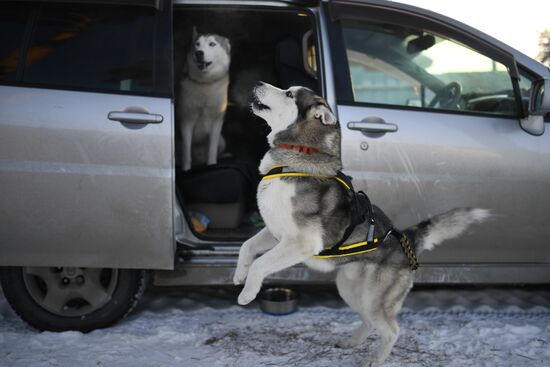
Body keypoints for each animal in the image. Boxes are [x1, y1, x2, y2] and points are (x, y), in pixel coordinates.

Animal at [179, 27, 231, 171]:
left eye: (212, 44)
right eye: (197, 44)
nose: (198, 53)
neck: (205, 83)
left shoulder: (217, 121)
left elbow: (212, 151)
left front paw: (212, 165)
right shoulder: (186, 121)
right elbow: (186, 154)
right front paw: (186, 170)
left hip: (222, 141)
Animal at [235, 82, 490, 367]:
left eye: (289, 94)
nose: (258, 84)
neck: (295, 157)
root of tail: (408, 238)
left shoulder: (301, 243)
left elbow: (260, 263)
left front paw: (247, 293)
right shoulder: (275, 233)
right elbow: (246, 247)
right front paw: (239, 275)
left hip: (373, 297)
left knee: (391, 330)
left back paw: (374, 359)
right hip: (349, 289)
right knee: (369, 321)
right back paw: (352, 342)